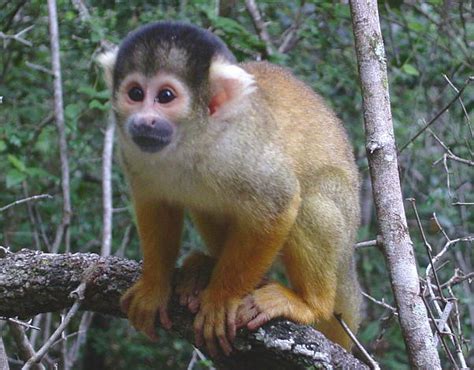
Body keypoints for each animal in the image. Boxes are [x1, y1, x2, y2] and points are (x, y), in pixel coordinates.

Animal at [98, 21, 362, 356]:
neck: (191, 139)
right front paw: (154, 287)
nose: (144, 121)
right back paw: (206, 269)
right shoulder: (131, 151)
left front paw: (221, 300)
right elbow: (156, 204)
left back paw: (310, 303)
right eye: (135, 93)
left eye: (166, 96)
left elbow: (279, 202)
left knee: (311, 204)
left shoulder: (241, 146)